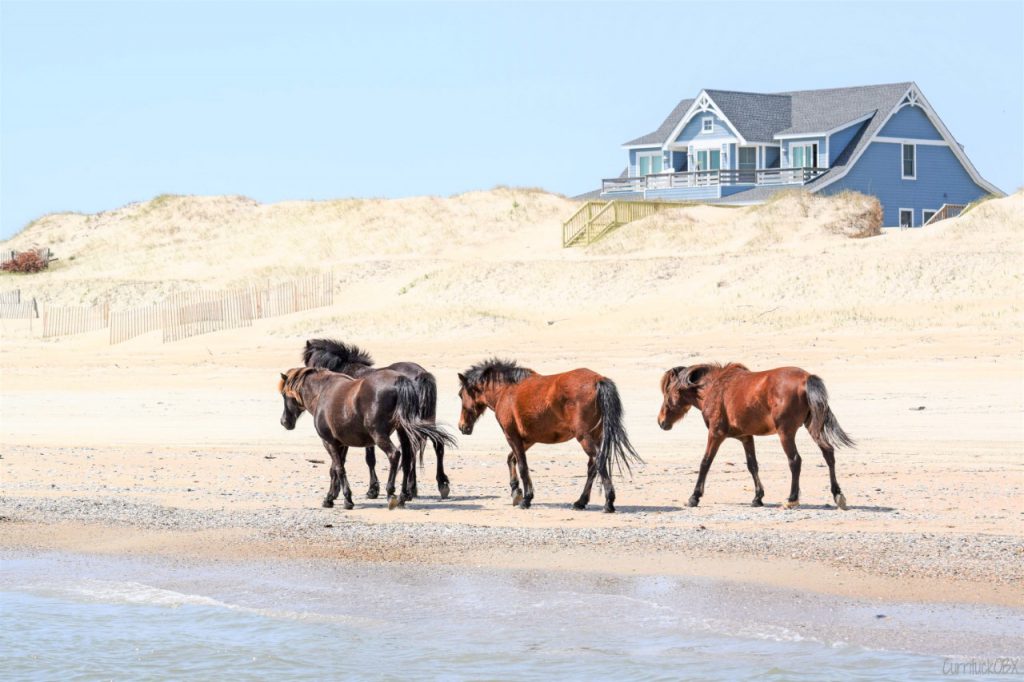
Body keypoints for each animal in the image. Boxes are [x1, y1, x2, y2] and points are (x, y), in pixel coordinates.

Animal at [280, 364, 456, 507]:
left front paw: (346, 499)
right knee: (407, 459)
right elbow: (335, 469)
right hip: (404, 433)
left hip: (380, 435)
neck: (322, 392)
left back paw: (391, 493)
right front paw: (331, 497)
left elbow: (339, 468)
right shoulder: (341, 444)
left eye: (284, 395)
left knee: (394, 455)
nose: (284, 422)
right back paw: (403, 496)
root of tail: (400, 380)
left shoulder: (329, 442)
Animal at [301, 339, 450, 499]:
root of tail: (421, 374)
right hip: (424, 421)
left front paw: (372, 490)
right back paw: (436, 485)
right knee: (435, 445)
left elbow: (368, 459)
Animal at [456, 356, 638, 509]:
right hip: (596, 436)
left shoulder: (512, 435)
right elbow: (511, 459)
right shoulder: (527, 439)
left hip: (584, 437)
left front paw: (526, 499)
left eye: (460, 395)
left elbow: (522, 466)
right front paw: (516, 491)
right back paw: (580, 502)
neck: (506, 391)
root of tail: (598, 380)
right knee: (593, 467)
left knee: (599, 461)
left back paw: (608, 502)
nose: (462, 426)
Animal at [655, 364, 856, 507]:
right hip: (812, 428)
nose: (661, 421)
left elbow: (705, 463)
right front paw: (757, 498)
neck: (714, 388)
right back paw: (837, 494)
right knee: (828, 453)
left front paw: (694, 497)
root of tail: (807, 378)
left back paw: (792, 499)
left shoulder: (716, 433)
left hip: (786, 433)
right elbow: (753, 465)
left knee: (795, 460)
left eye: (667, 393)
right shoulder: (746, 437)